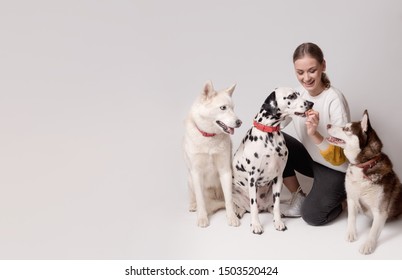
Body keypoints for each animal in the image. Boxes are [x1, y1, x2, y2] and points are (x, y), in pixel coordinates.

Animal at [185, 80, 243, 228]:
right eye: (223, 108)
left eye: (233, 108)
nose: (239, 122)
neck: (209, 138)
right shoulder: (196, 173)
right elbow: (200, 200)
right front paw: (202, 217)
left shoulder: (225, 170)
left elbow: (229, 199)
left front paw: (232, 216)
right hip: (190, 179)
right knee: (193, 195)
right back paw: (192, 205)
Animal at [232, 88, 314, 234]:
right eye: (291, 96)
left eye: (299, 94)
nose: (311, 103)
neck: (269, 134)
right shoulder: (252, 179)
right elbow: (253, 206)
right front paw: (256, 225)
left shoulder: (278, 177)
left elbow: (276, 205)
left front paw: (278, 222)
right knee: (245, 207)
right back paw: (238, 212)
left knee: (269, 206)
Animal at [326, 110, 402, 255]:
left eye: (347, 129)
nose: (327, 125)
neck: (363, 166)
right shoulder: (351, 198)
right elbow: (351, 217)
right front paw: (351, 233)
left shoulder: (380, 212)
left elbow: (373, 231)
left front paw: (368, 244)